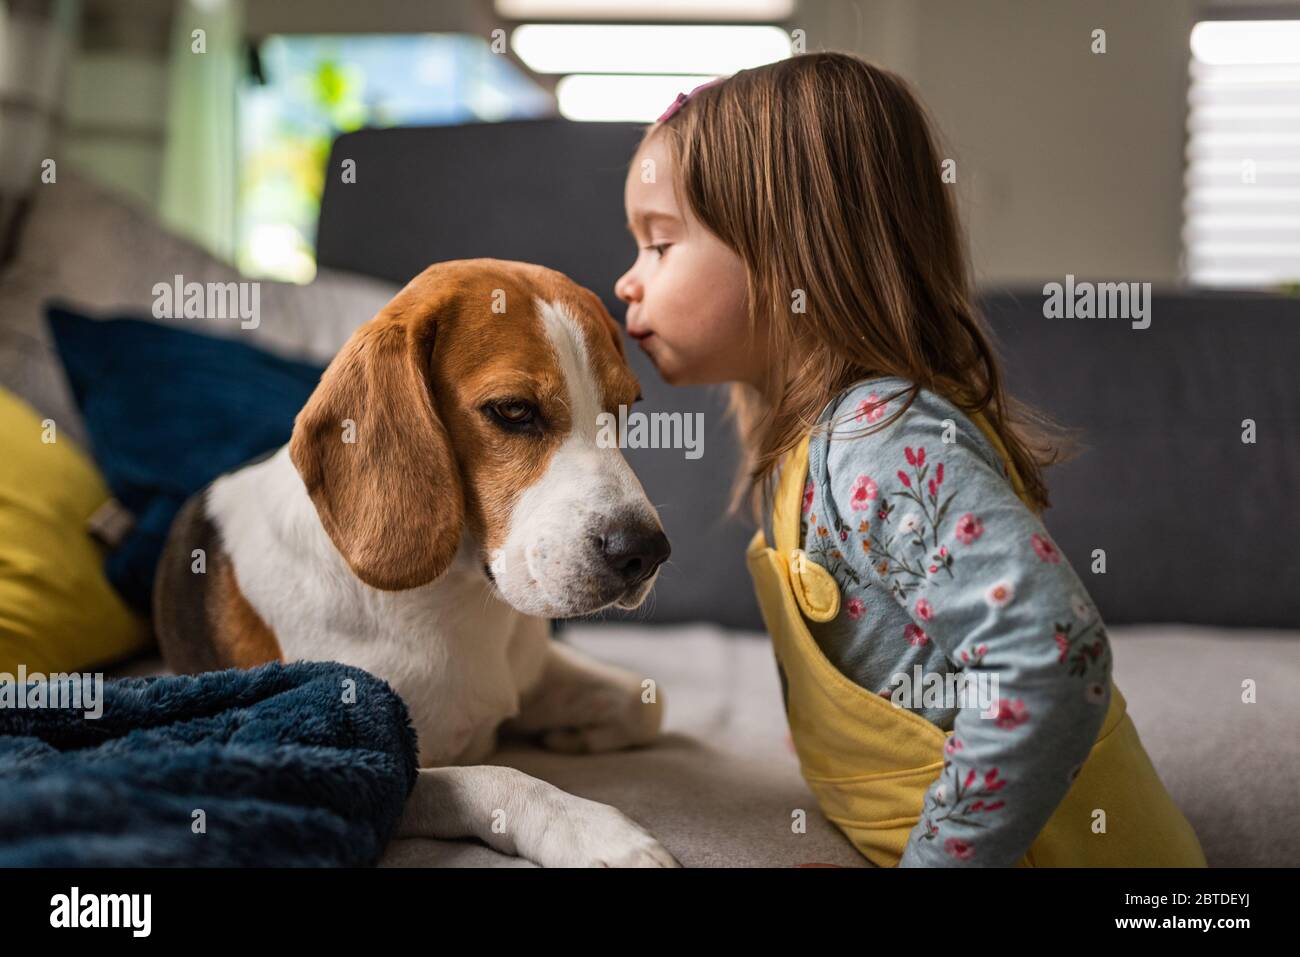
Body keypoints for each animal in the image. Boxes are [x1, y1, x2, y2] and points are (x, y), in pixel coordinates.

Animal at [153, 260, 676, 868]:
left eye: (625, 410)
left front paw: (577, 736)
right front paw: (597, 833)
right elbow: (499, 779)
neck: (458, 598)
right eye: (513, 410)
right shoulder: (355, 764)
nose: (646, 552)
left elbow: (646, 700)